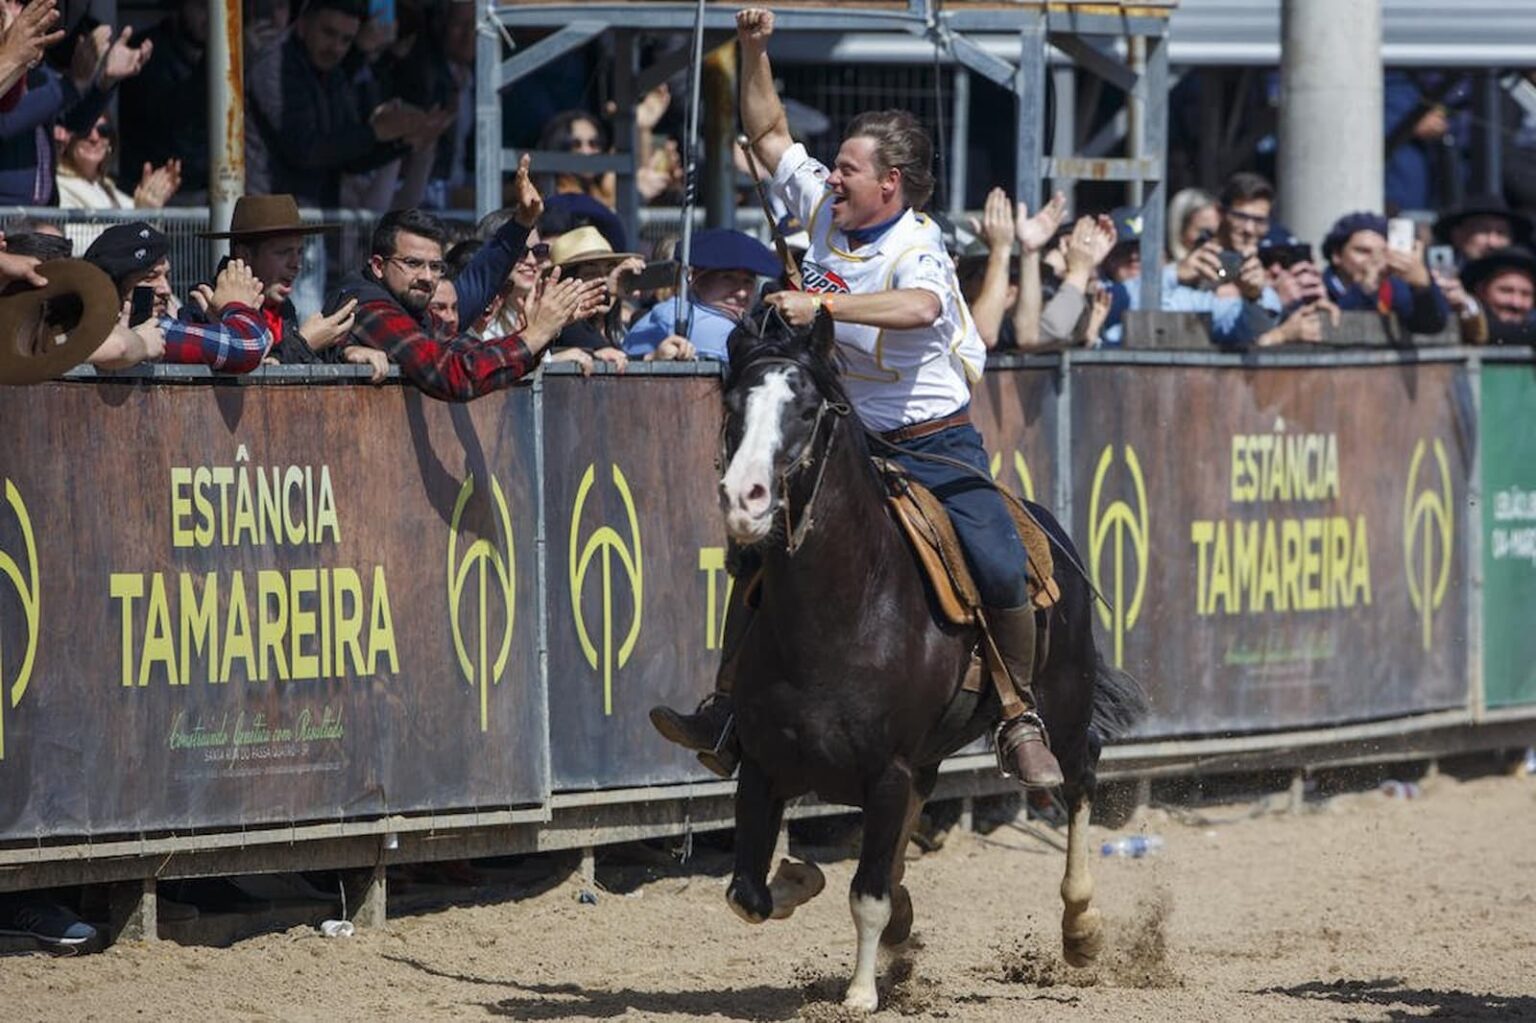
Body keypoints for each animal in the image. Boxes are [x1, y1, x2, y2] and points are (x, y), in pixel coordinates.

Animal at [715, 302, 1142, 1001]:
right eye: (733, 405)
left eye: (805, 409)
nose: (743, 497)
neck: (843, 612)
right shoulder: (762, 763)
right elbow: (748, 895)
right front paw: (801, 877)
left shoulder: (886, 769)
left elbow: (865, 895)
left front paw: (860, 994)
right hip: (930, 752)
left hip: (1066, 700)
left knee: (1079, 777)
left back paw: (1081, 928)